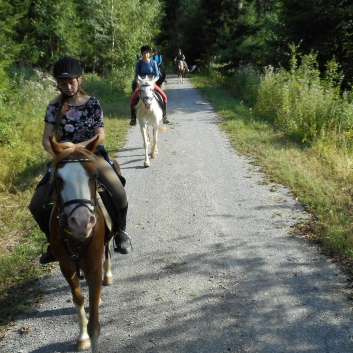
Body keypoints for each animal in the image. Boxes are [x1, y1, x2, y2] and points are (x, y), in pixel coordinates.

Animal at [47, 136, 114, 352]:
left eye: (94, 176)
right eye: (59, 180)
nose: (82, 222)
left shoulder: (93, 268)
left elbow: (95, 324)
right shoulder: (66, 267)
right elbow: (78, 299)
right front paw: (82, 336)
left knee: (108, 250)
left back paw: (108, 275)